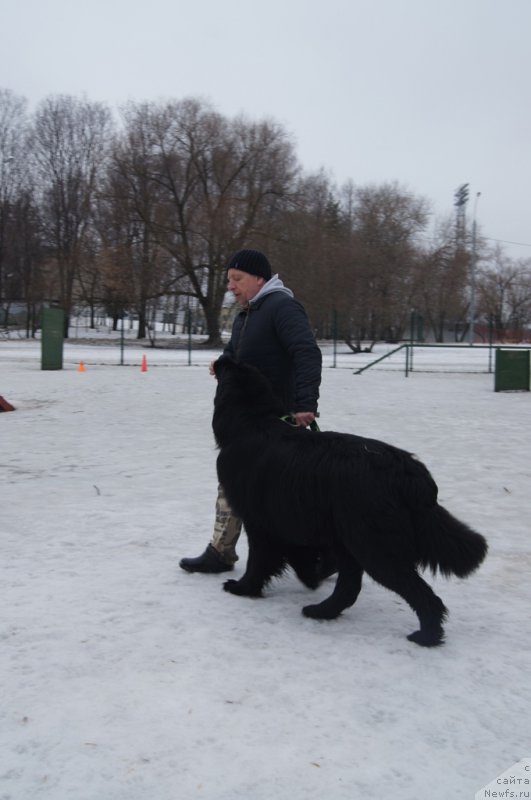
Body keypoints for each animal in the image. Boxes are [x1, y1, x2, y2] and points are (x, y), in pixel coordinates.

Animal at [214, 356, 488, 644]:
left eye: (229, 368)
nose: (223, 358)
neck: (253, 421)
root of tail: (410, 475)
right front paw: (313, 576)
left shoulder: (260, 522)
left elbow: (260, 560)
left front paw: (244, 588)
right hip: (352, 539)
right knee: (349, 587)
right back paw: (322, 610)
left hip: (374, 545)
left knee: (419, 593)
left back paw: (427, 635)